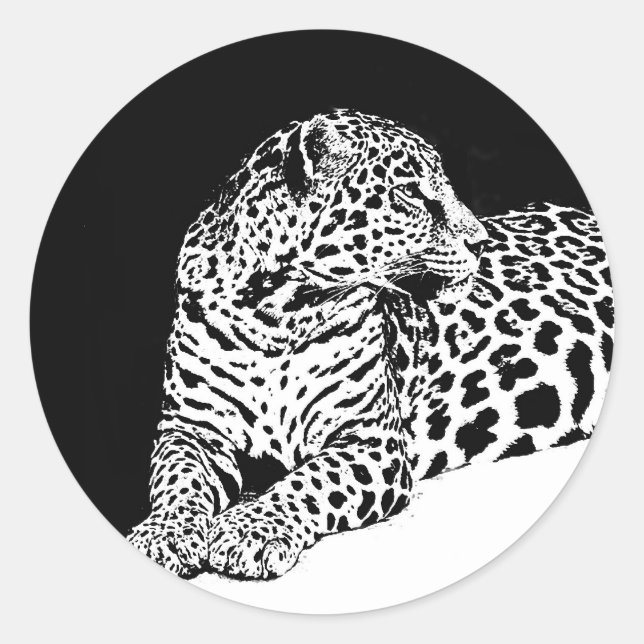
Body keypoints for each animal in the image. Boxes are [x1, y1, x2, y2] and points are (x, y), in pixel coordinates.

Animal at [127, 109, 613, 580]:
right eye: (411, 193)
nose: (480, 242)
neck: (277, 315)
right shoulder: (190, 429)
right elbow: (178, 481)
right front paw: (163, 534)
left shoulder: (372, 440)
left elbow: (307, 481)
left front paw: (252, 531)